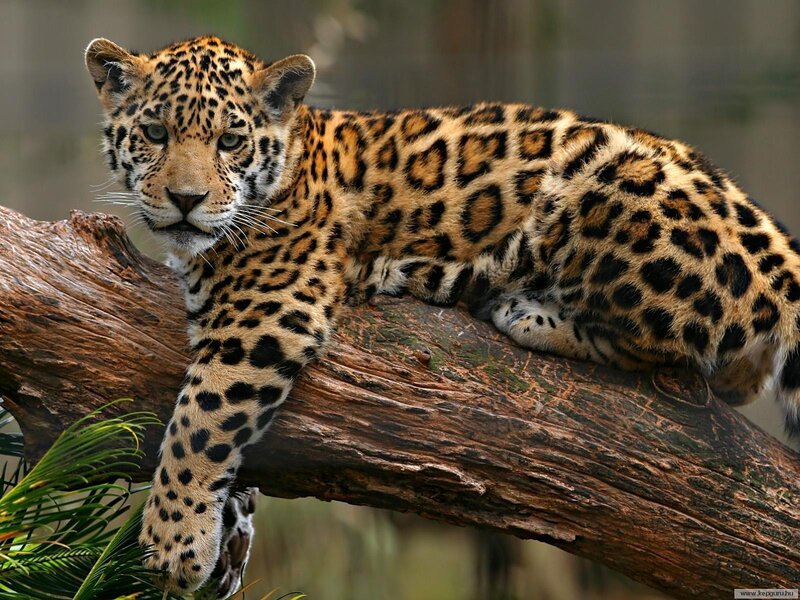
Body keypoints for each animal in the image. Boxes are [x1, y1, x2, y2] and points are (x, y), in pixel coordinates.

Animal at [85, 35, 800, 594]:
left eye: (231, 140)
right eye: (155, 134)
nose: (186, 199)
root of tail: (777, 245)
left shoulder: (265, 313)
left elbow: (199, 421)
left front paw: (173, 540)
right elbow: (233, 438)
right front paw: (226, 534)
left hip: (604, 190)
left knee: (679, 348)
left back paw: (522, 308)